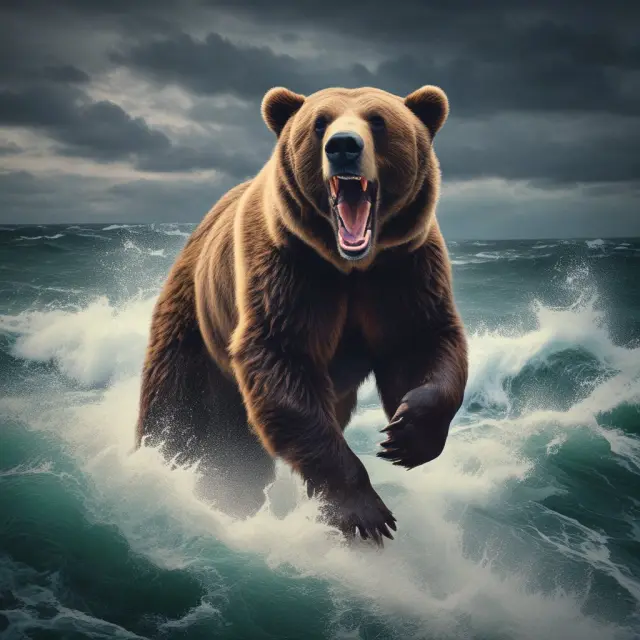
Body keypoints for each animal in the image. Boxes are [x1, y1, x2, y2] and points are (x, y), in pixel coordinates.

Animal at [135, 85, 469, 546]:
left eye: (378, 120)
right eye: (319, 123)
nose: (343, 146)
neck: (350, 265)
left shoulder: (403, 272)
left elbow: (423, 344)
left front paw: (405, 436)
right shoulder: (288, 270)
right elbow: (282, 362)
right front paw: (366, 511)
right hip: (195, 334)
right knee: (188, 421)